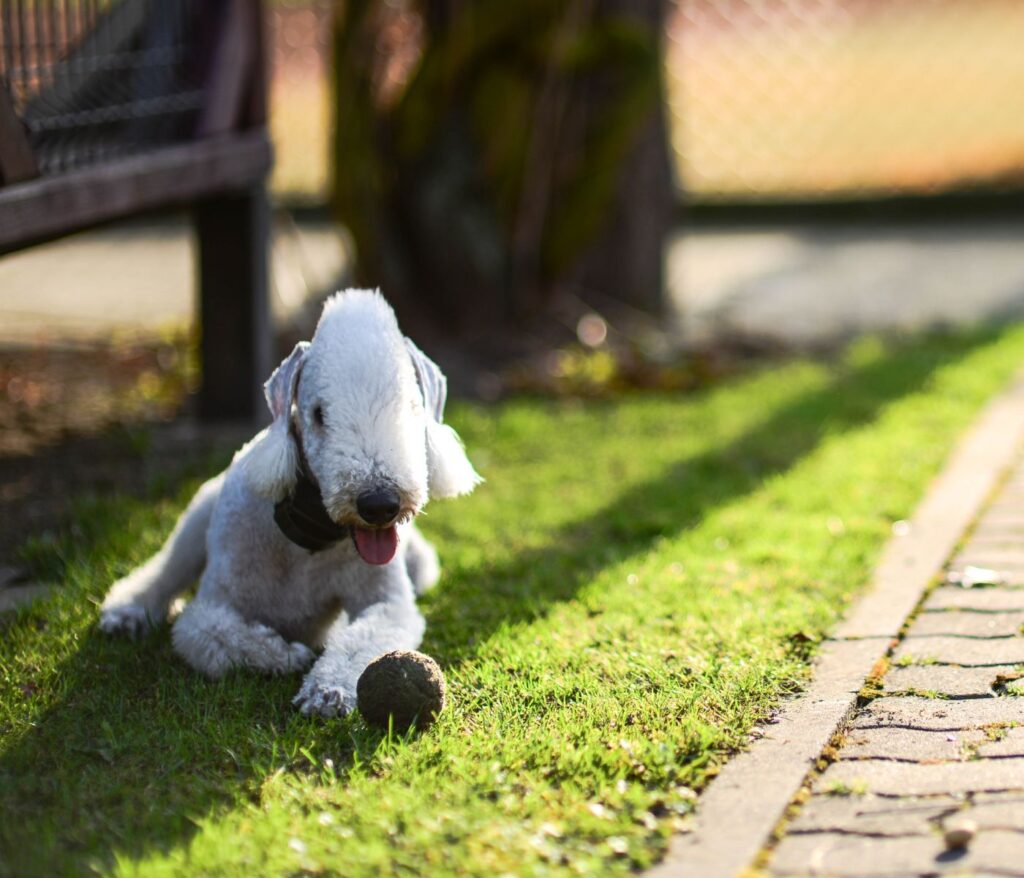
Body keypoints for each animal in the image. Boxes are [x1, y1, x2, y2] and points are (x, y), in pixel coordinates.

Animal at [98, 290, 479, 717]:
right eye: (319, 414)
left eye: (413, 407)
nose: (380, 504)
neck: (309, 536)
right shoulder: (217, 600)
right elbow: (208, 631)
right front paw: (284, 654)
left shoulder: (387, 602)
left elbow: (363, 638)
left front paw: (327, 690)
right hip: (199, 512)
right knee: (168, 568)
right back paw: (126, 613)